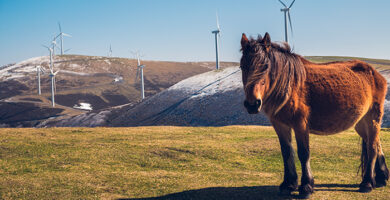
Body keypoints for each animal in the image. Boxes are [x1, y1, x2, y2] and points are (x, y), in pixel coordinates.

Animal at [239, 32, 388, 198]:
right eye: (242, 66)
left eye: (265, 66)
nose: (252, 104)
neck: (289, 84)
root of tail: (376, 74)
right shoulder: (280, 125)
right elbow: (286, 152)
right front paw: (288, 184)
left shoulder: (300, 124)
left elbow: (304, 153)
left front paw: (306, 187)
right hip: (361, 124)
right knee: (375, 144)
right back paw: (381, 178)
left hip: (372, 119)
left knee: (372, 148)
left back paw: (367, 183)